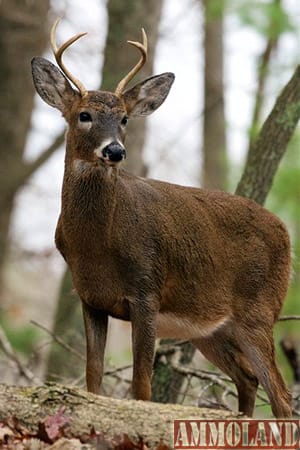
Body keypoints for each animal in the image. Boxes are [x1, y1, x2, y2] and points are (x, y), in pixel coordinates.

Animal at [31, 18, 292, 418]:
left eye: (124, 118)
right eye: (83, 115)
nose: (115, 151)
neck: (96, 243)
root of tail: (286, 232)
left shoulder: (147, 289)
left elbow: (142, 386)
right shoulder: (90, 297)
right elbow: (93, 377)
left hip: (259, 311)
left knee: (281, 396)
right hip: (211, 329)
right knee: (248, 380)